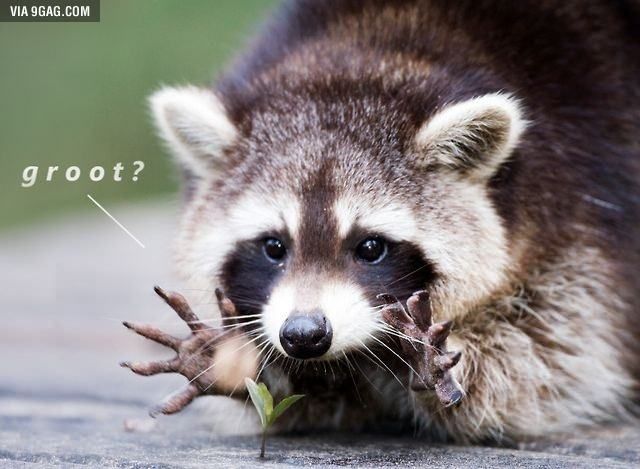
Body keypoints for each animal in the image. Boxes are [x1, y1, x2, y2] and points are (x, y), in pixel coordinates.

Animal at [124, 0, 640, 443]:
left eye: (371, 247)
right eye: (273, 247)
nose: (304, 335)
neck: (373, 50)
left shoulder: (582, 209)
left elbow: (545, 362)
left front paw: (430, 364)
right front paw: (243, 363)